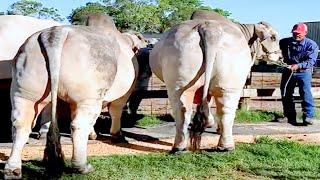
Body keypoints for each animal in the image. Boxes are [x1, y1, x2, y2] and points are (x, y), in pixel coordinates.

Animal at [4, 23, 136, 179]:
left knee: (21, 124)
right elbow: (116, 111)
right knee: (79, 125)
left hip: (24, 91)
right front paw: (117, 135)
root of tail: (56, 31)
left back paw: (12, 169)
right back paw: (82, 166)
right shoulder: (125, 94)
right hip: (89, 96)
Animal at [149, 11, 282, 153]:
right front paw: (213, 125)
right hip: (226, 83)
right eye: (273, 37)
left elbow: (206, 102)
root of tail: (209, 28)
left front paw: (211, 123)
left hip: (184, 83)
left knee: (185, 109)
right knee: (223, 111)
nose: (280, 56)